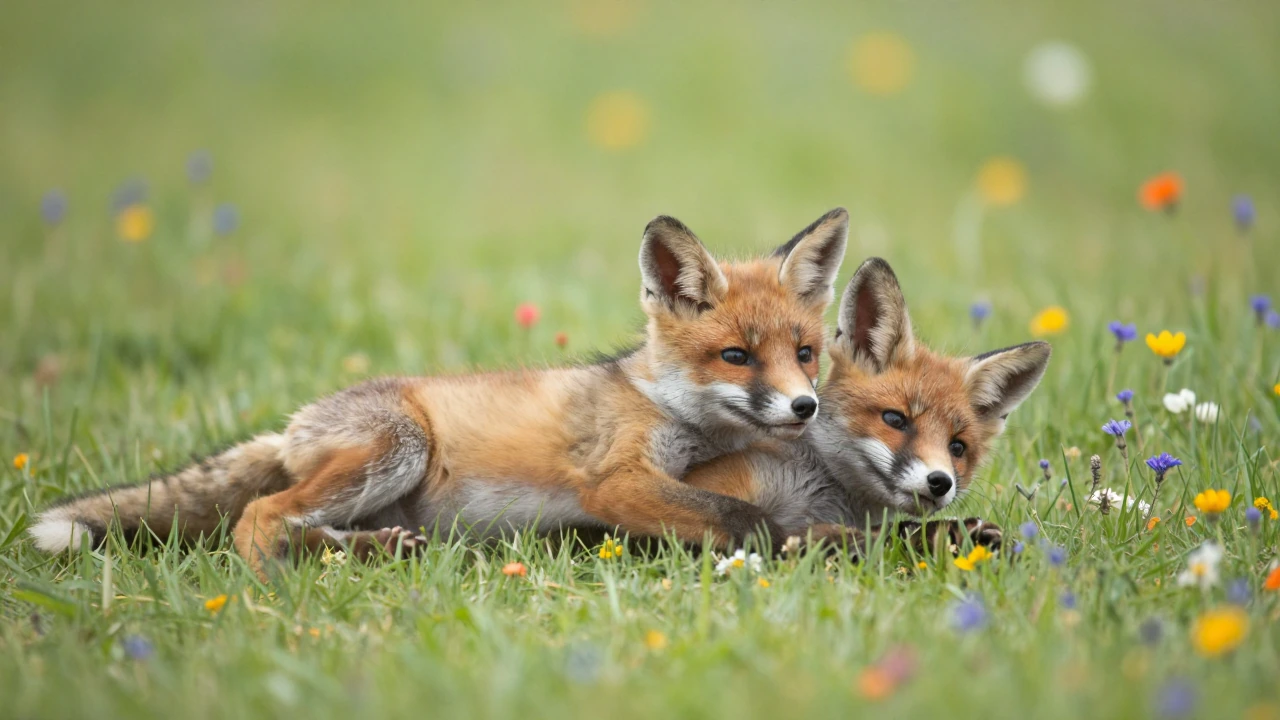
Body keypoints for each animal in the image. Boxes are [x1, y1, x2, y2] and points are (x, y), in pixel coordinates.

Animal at [30, 209, 851, 577]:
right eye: (736, 356)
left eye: (805, 354)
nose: (803, 407)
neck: (667, 406)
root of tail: (295, 424)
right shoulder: (615, 480)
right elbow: (743, 516)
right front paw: (791, 544)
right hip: (399, 445)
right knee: (259, 520)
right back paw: (275, 582)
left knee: (303, 525)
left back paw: (374, 550)